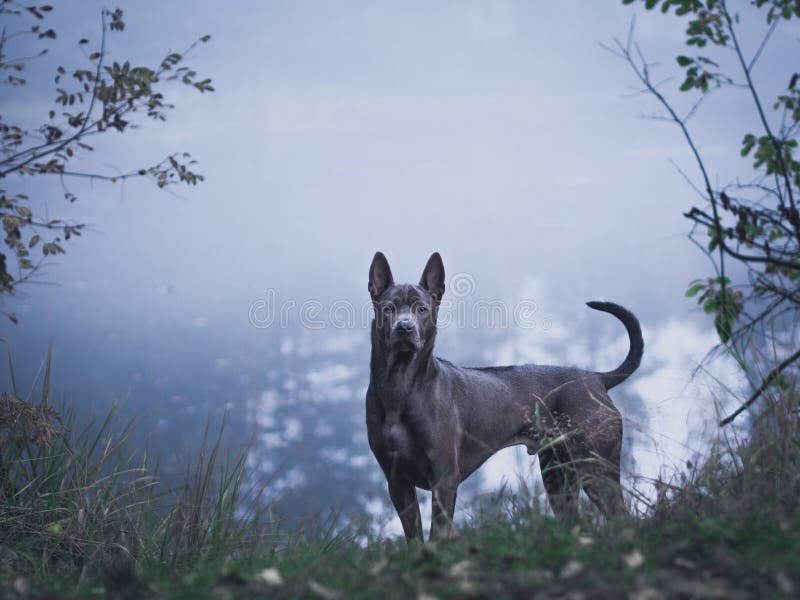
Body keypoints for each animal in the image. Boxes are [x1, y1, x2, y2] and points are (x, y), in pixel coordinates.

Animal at [364, 251, 644, 540]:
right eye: (389, 308)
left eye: (421, 308)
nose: (404, 328)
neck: (400, 387)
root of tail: (597, 378)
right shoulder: (397, 482)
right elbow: (415, 538)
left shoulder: (444, 479)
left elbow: (438, 535)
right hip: (558, 474)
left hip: (597, 468)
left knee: (621, 515)